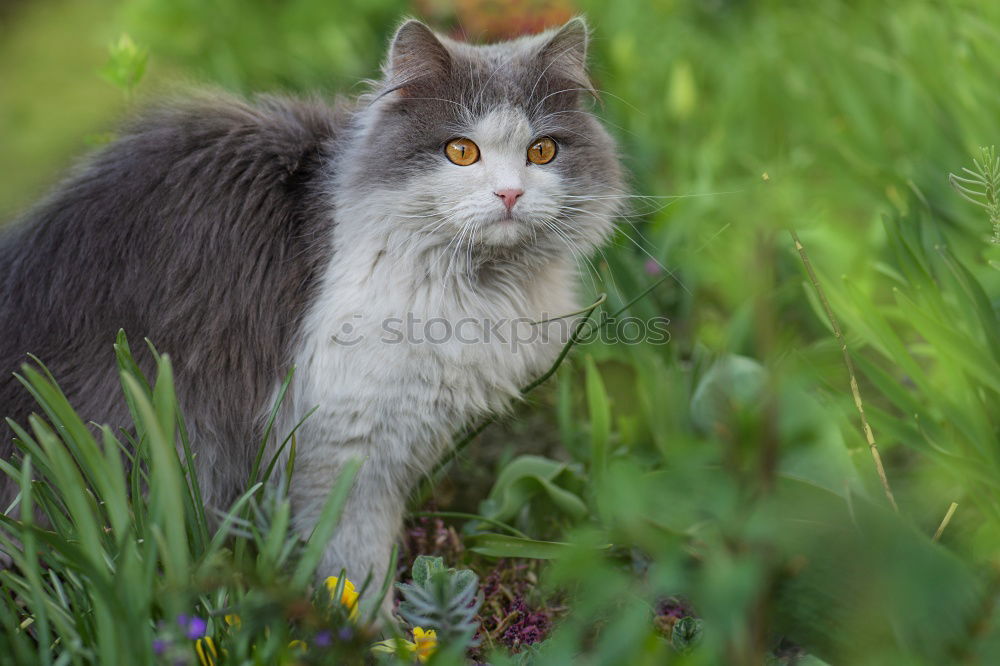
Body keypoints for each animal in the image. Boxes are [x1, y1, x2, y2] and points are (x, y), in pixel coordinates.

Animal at [0, 16, 620, 608]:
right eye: (461, 151)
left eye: (542, 150)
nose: (510, 195)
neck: (479, 284)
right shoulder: (344, 440)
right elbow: (354, 557)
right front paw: (376, 628)